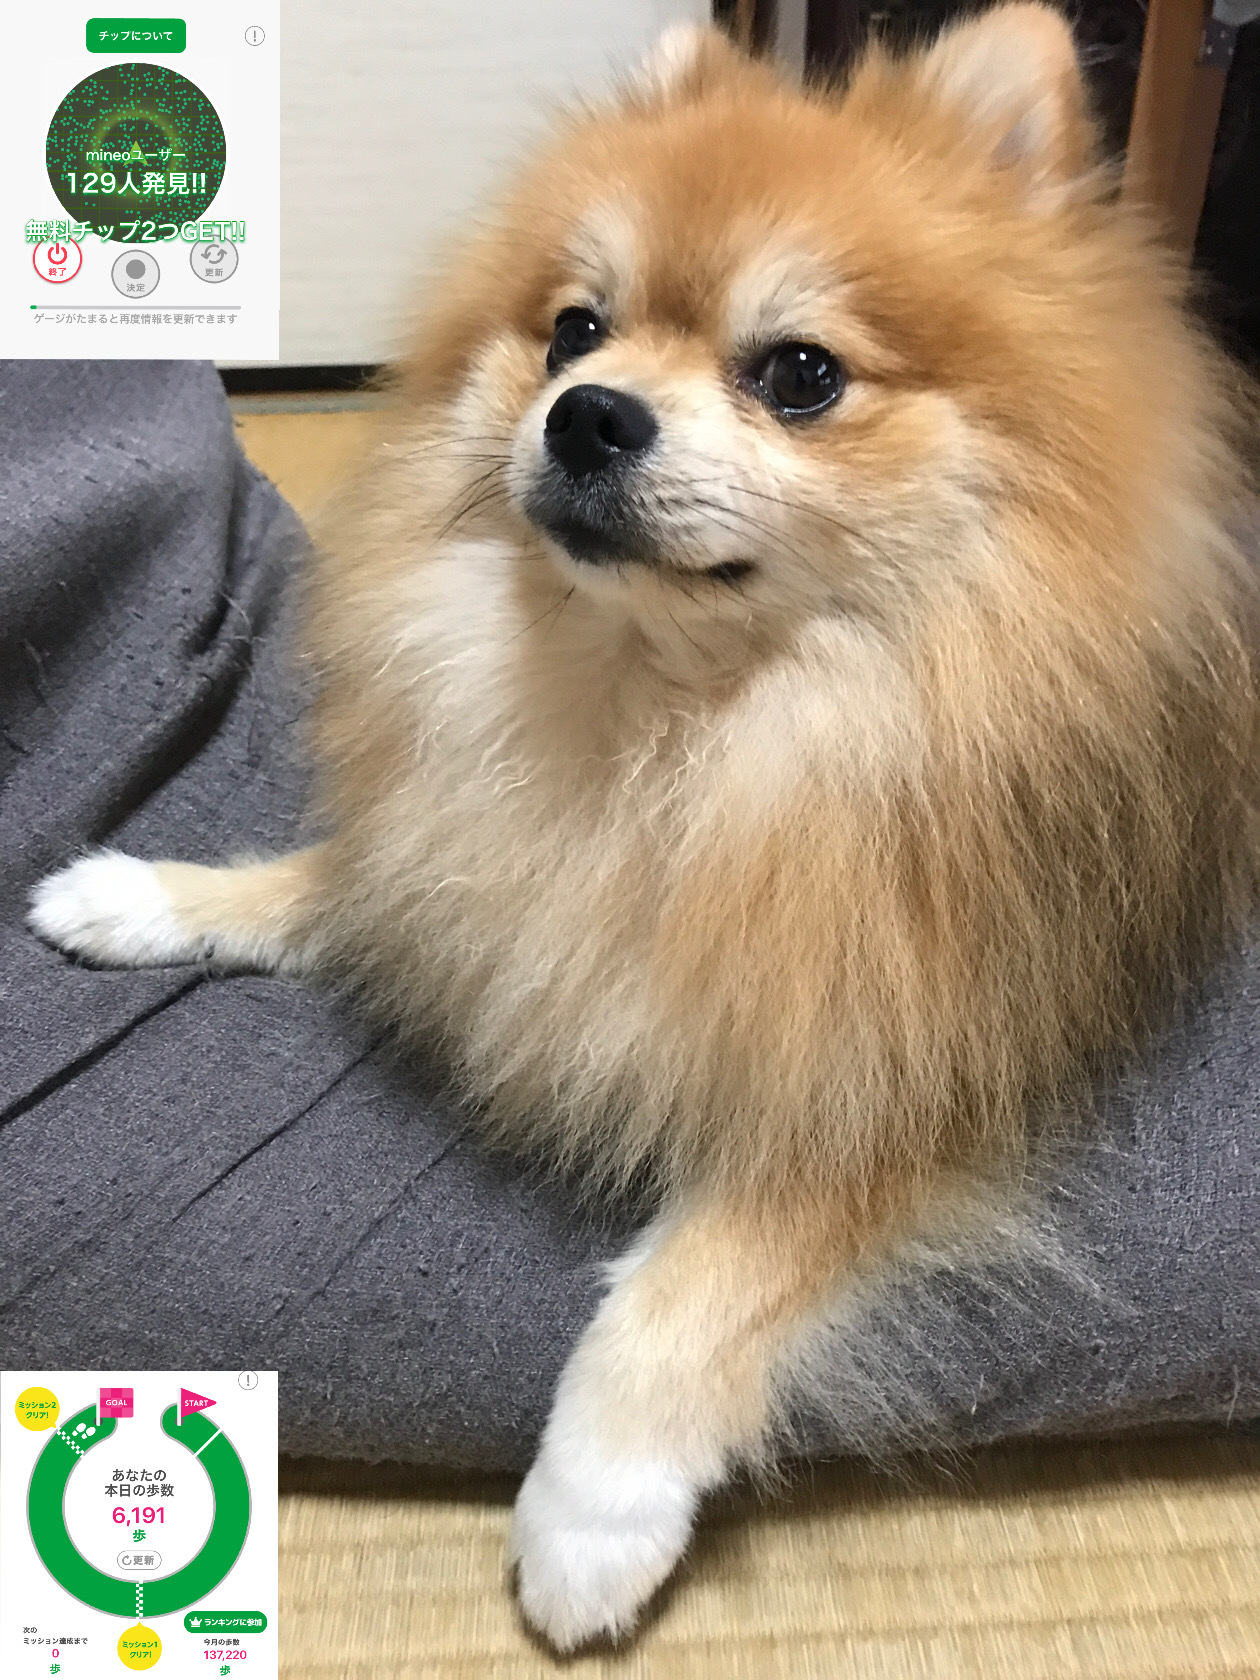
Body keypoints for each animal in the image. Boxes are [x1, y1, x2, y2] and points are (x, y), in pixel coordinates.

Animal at [30, 6, 1260, 1649]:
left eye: (799, 372)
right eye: (571, 332)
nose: (589, 413)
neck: (670, 731)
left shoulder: (905, 1070)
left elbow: (699, 1282)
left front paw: (590, 1513)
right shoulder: (483, 867)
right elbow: (341, 880)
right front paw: (140, 896)